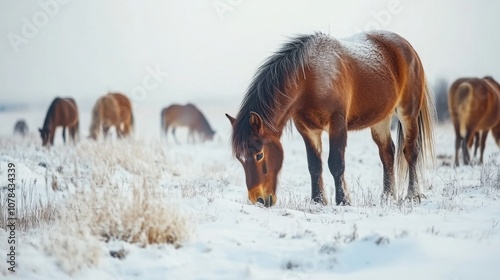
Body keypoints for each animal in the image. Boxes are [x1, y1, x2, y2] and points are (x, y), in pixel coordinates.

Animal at [226, 30, 434, 207]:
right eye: (239, 158)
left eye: (259, 154)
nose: (259, 199)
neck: (309, 79)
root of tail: (407, 47)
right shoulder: (308, 130)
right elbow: (314, 165)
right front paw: (318, 201)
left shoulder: (337, 124)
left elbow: (335, 163)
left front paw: (343, 201)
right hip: (380, 119)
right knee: (387, 154)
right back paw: (387, 197)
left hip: (408, 113)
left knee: (410, 152)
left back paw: (413, 195)